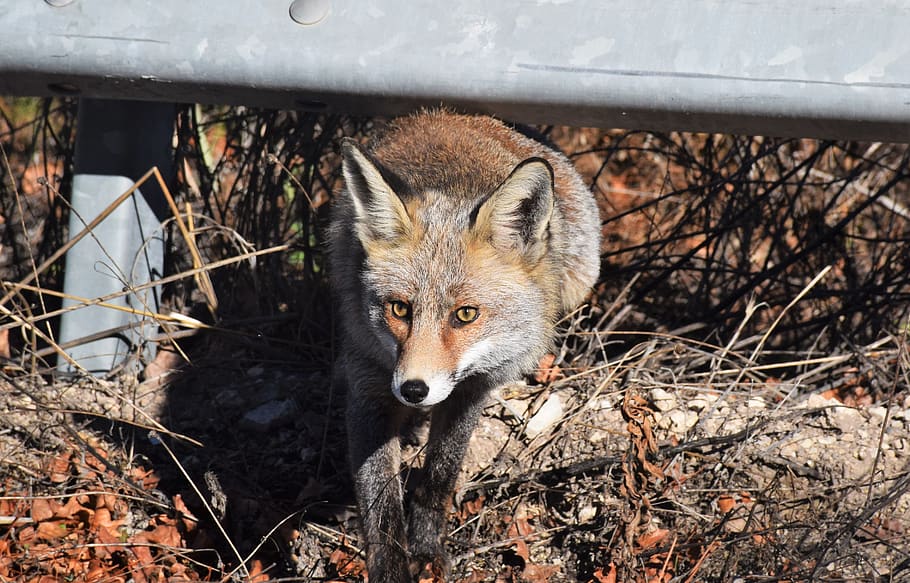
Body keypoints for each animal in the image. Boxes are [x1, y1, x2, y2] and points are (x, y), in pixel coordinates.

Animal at [328, 109, 601, 582]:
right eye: (399, 308)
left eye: (466, 314)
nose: (413, 389)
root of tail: (453, 114)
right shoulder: (369, 382)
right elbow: (380, 505)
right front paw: (392, 568)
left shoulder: (476, 385)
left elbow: (440, 473)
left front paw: (427, 547)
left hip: (581, 275)